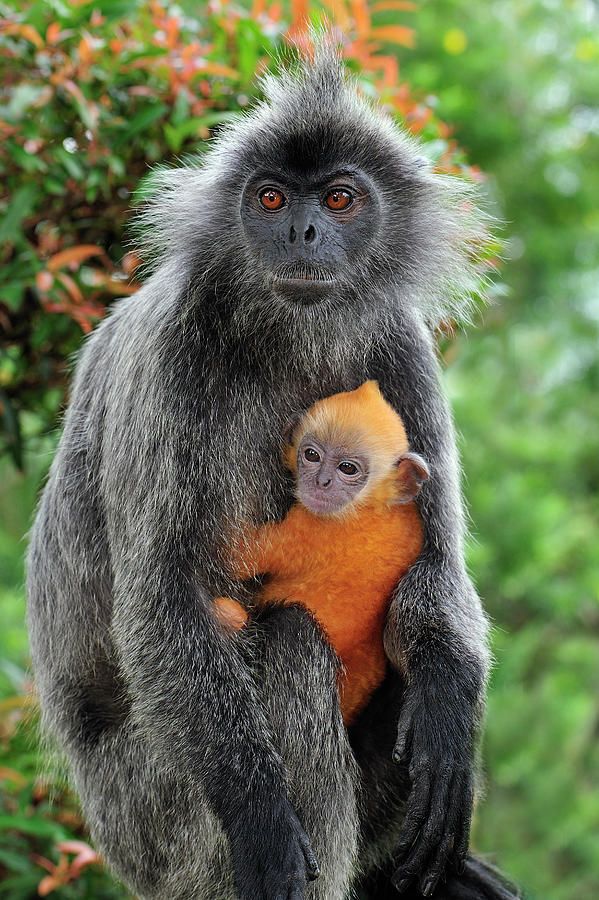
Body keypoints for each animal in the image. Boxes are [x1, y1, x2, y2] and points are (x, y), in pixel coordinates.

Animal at [213, 380, 430, 725]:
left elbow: (232, 556)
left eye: (347, 468)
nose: (322, 482)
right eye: (311, 455)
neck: (370, 507)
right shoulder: (411, 523)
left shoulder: (310, 528)